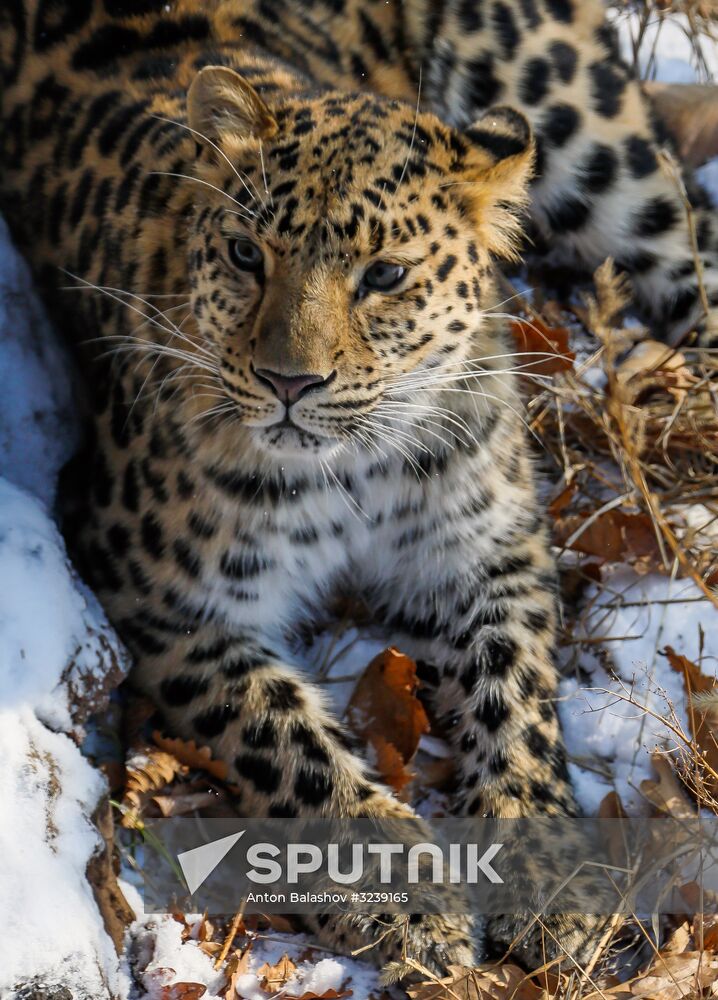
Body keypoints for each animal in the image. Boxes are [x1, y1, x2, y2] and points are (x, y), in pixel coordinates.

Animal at [0, 0, 714, 983]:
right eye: (244, 254)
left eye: (384, 277)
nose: (288, 382)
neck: (356, 468)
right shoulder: (163, 593)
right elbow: (292, 743)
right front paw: (409, 904)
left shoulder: (489, 549)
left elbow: (519, 701)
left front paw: (551, 882)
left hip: (595, 138)